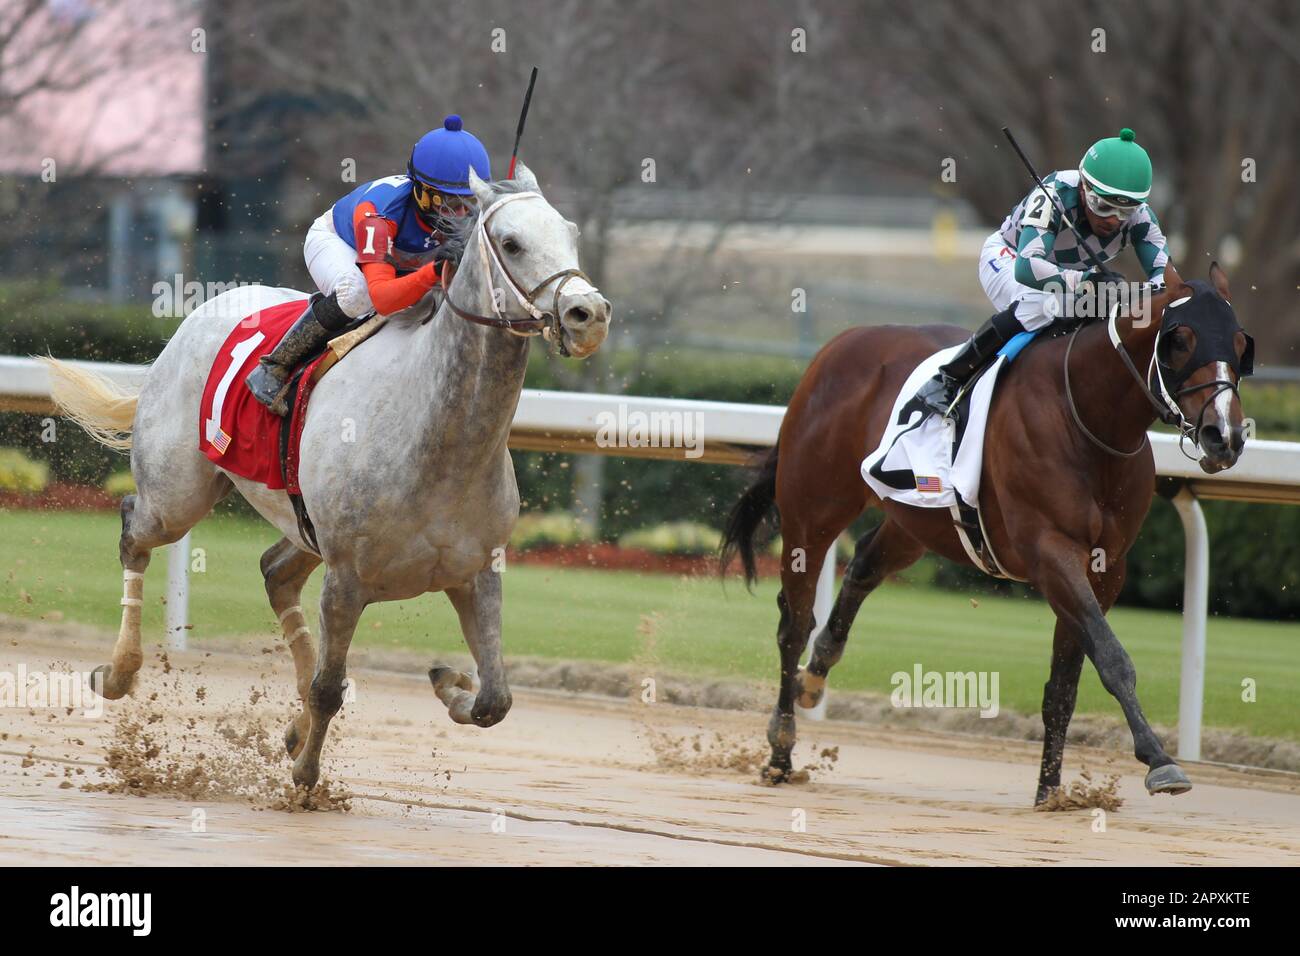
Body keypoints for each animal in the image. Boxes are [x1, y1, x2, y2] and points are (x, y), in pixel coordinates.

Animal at [40, 166, 608, 790]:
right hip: (177, 495)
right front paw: (307, 780)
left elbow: (494, 700)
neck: (441, 438)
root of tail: (209, 307)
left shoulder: (477, 571)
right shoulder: (347, 577)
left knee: (275, 573)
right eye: (511, 243)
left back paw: (290, 724)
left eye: (571, 233)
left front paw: (447, 680)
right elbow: (330, 688)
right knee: (134, 533)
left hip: (299, 521)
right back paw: (119, 673)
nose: (589, 314)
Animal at [728, 260, 1253, 801]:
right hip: (811, 510)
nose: (1225, 437)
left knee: (865, 565)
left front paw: (1050, 791)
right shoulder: (1051, 552)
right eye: (1180, 340)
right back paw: (781, 750)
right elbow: (1112, 658)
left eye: (1240, 344)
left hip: (916, 519)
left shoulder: (1106, 566)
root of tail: (841, 342)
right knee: (794, 623)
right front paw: (1160, 762)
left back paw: (816, 674)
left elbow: (1066, 682)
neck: (1088, 419)